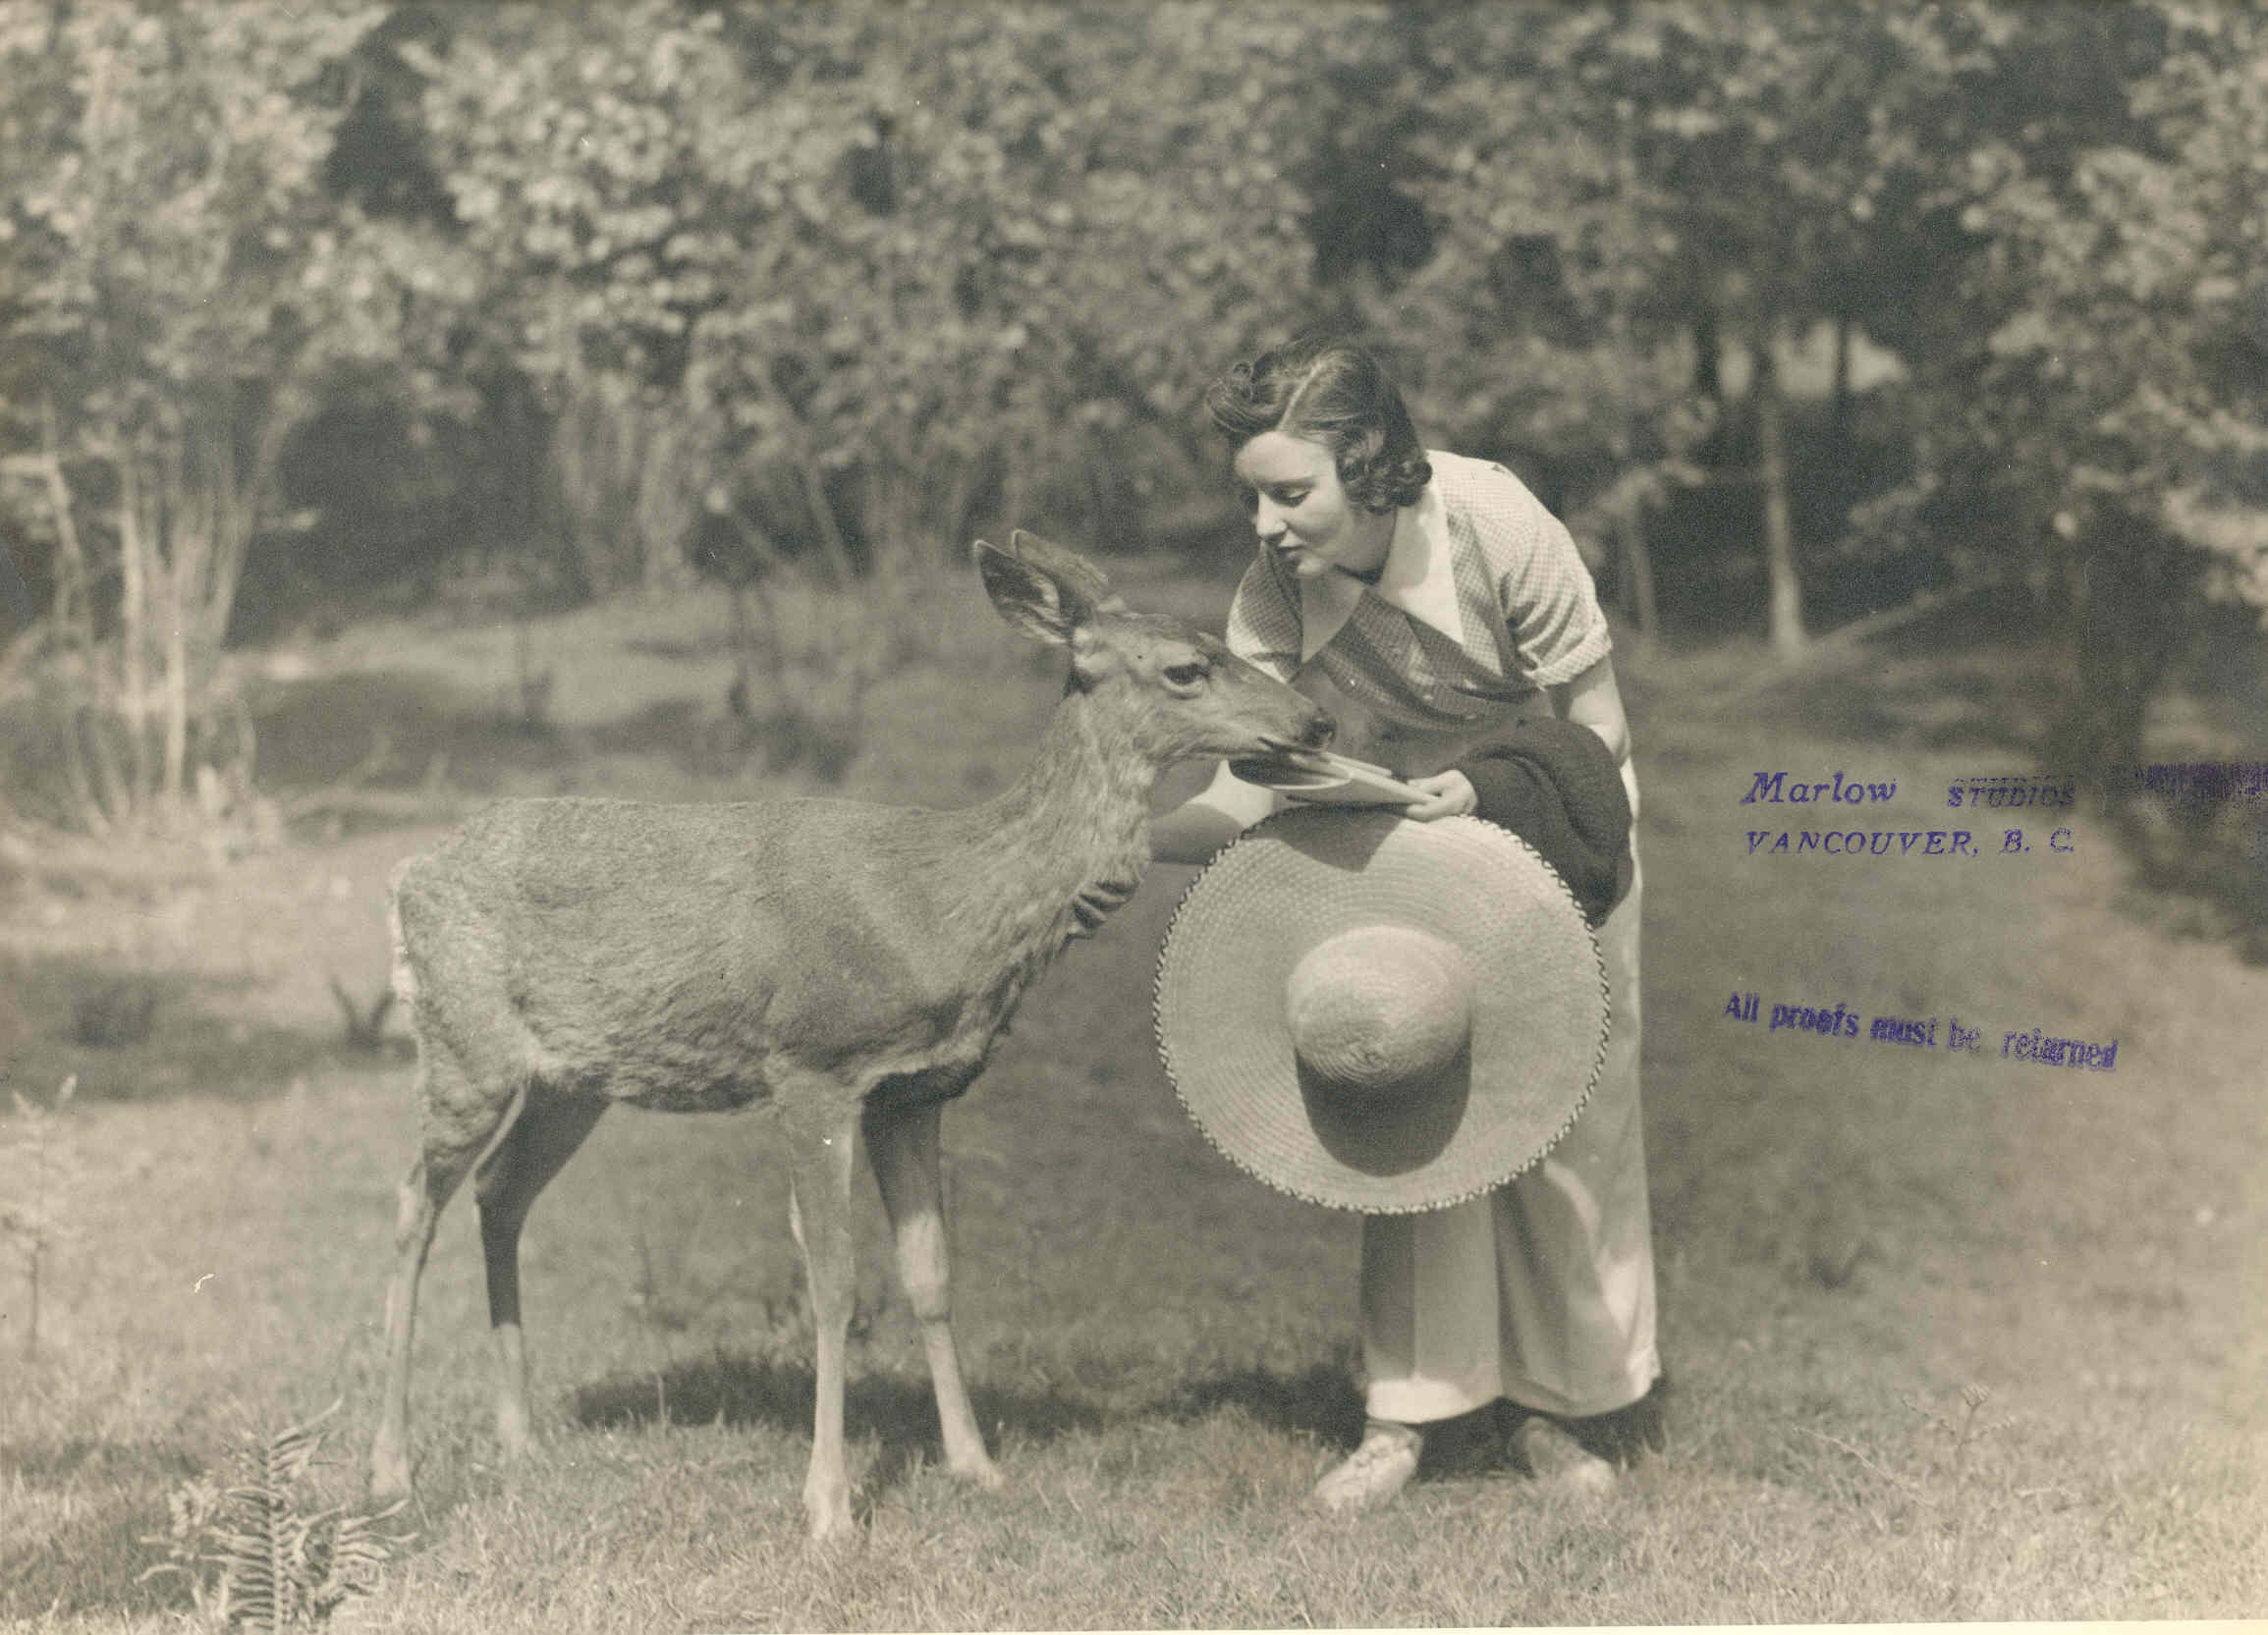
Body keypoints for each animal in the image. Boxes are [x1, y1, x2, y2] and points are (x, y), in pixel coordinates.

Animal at [362, 528, 1333, 1533]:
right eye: (1187, 665)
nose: (1314, 721)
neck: (945, 905)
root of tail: (408, 873)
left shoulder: (915, 1090)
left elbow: (930, 1273)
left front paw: (976, 1465)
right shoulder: (810, 1065)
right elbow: (833, 1279)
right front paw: (828, 1502)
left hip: (571, 1078)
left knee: (499, 1192)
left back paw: (520, 1438)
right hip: (462, 1041)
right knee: (411, 1204)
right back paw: (390, 1467)